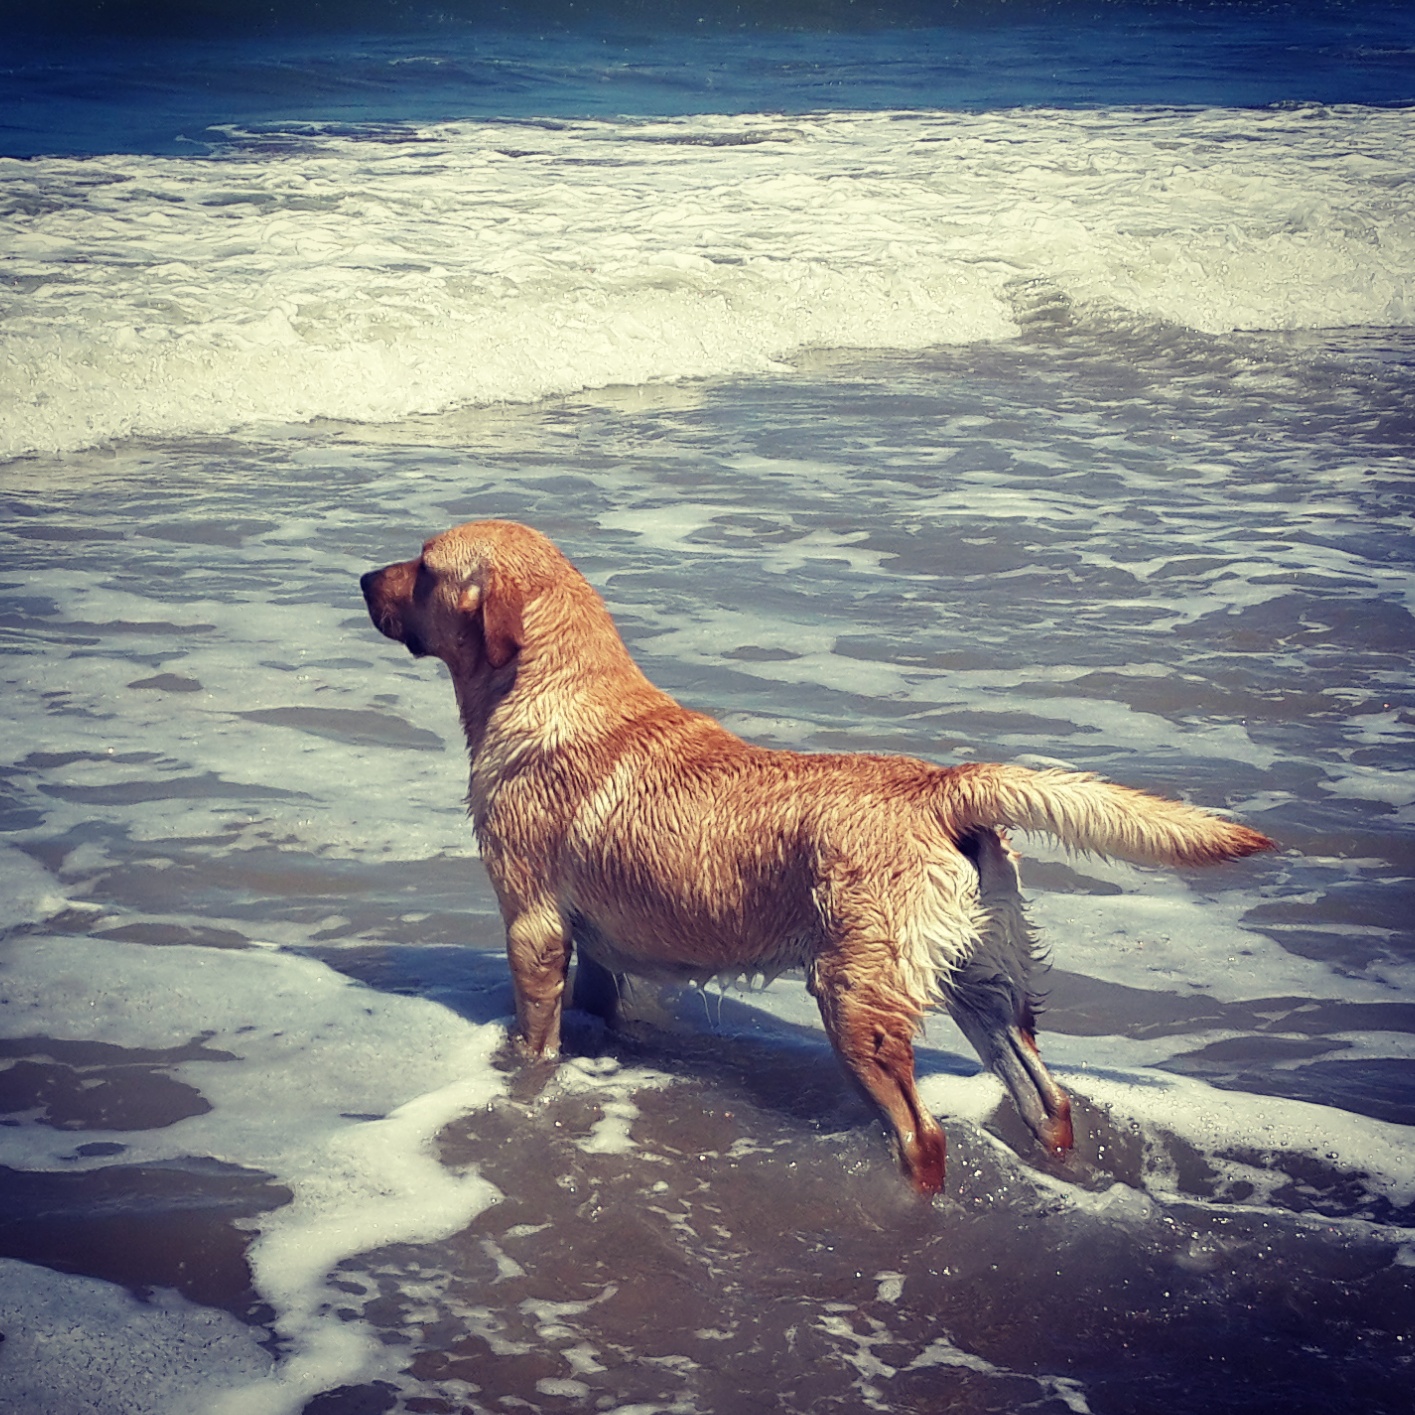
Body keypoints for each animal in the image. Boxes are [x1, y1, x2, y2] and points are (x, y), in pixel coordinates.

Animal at [362, 519, 1273, 1194]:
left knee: (923, 1135)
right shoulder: (597, 949)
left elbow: (536, 1041)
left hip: (855, 996)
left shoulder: (533, 925)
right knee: (1045, 1099)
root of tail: (942, 786)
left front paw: (527, 1091)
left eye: (424, 566)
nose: (364, 578)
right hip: (983, 976)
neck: (550, 686)